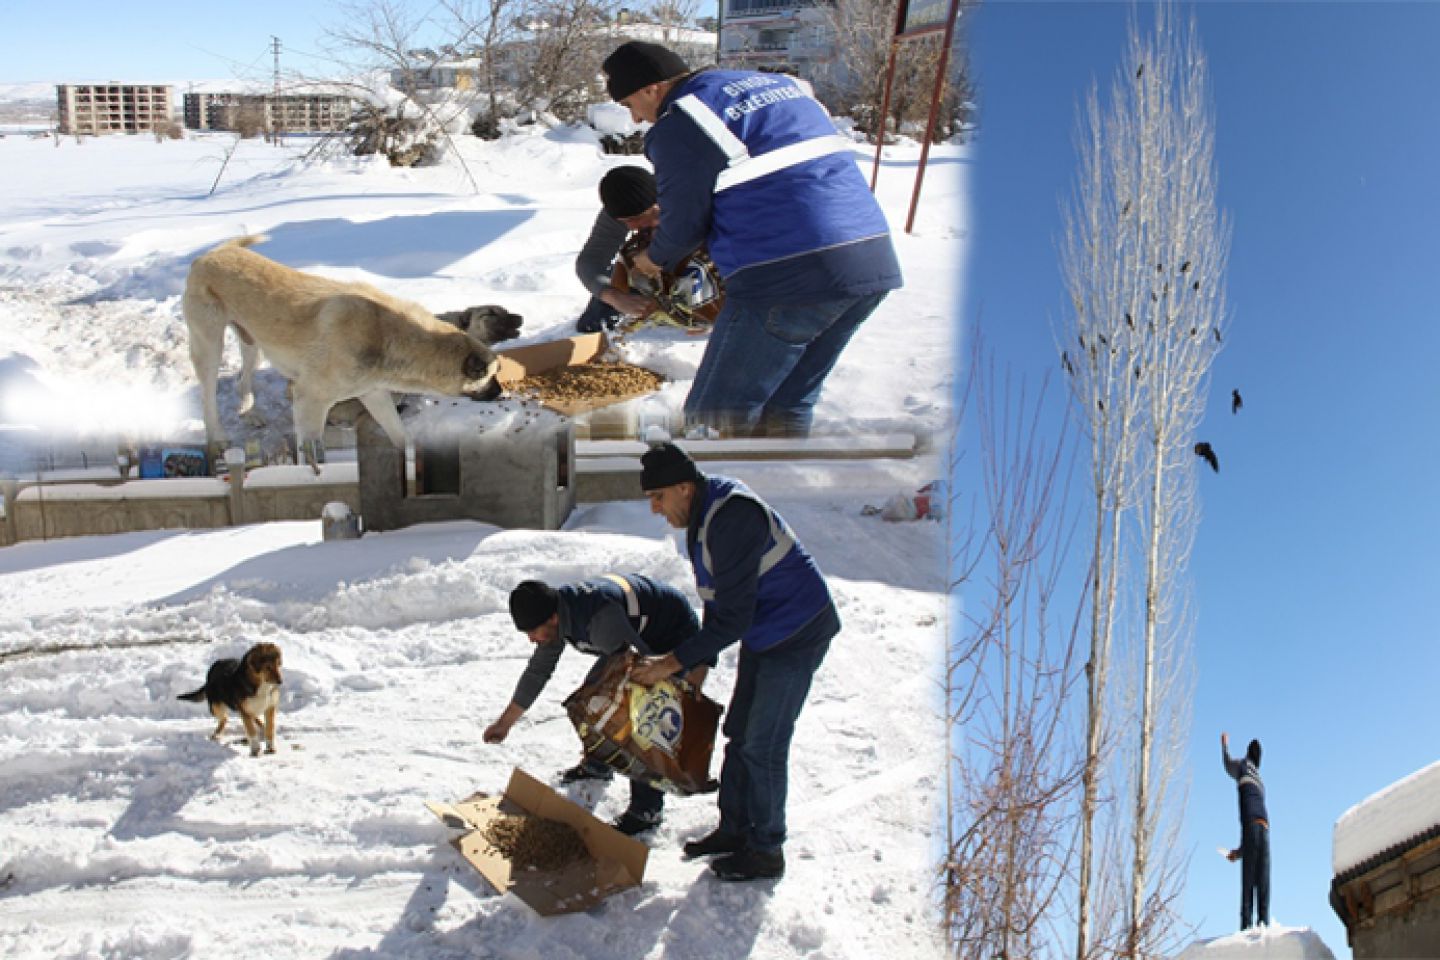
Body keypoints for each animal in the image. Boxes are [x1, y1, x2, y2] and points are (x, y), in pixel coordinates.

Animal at [185, 236, 504, 469]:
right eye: (489, 376)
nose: (501, 392)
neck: (387, 336)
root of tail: (214, 252)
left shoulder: (374, 393)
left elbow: (399, 434)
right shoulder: (308, 401)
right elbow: (310, 454)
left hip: (253, 342)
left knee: (243, 378)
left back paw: (250, 412)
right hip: (209, 344)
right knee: (208, 396)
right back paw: (218, 439)